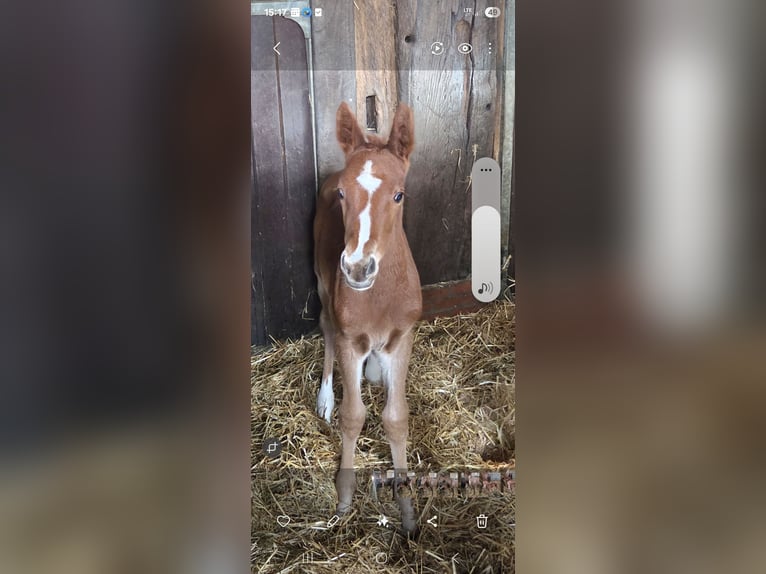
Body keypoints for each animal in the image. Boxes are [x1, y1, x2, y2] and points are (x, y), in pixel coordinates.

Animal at [313, 102, 421, 534]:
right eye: (344, 193)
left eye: (399, 194)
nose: (358, 269)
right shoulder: (349, 339)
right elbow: (353, 415)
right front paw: (344, 497)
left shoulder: (403, 337)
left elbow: (396, 418)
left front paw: (406, 508)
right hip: (322, 286)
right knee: (324, 327)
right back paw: (325, 398)